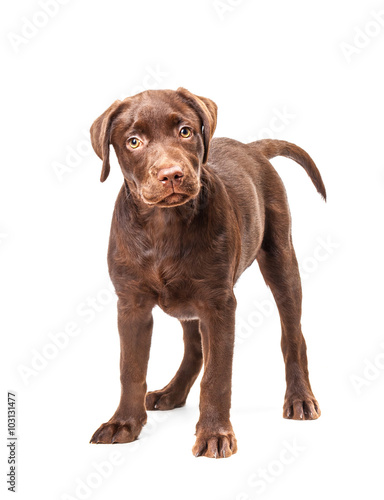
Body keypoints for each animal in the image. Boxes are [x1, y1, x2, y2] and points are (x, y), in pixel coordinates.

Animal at [88, 87, 326, 458]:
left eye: (185, 131)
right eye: (133, 142)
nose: (171, 174)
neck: (164, 224)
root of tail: (252, 148)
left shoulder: (218, 304)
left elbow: (217, 375)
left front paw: (214, 433)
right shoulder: (131, 304)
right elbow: (130, 369)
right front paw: (124, 423)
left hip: (281, 260)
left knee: (292, 335)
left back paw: (300, 399)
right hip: (188, 299)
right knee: (195, 347)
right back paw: (172, 393)